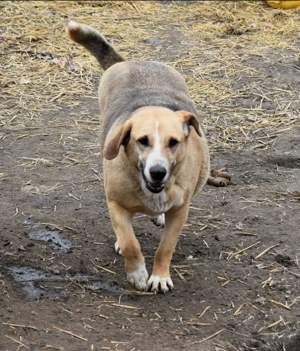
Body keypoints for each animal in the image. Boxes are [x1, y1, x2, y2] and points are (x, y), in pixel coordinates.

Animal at [67, 20, 210, 292]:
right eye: (142, 141)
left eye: (173, 142)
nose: (158, 172)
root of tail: (130, 61)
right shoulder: (115, 203)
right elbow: (130, 243)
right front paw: (137, 273)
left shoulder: (180, 210)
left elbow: (166, 247)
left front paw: (160, 276)